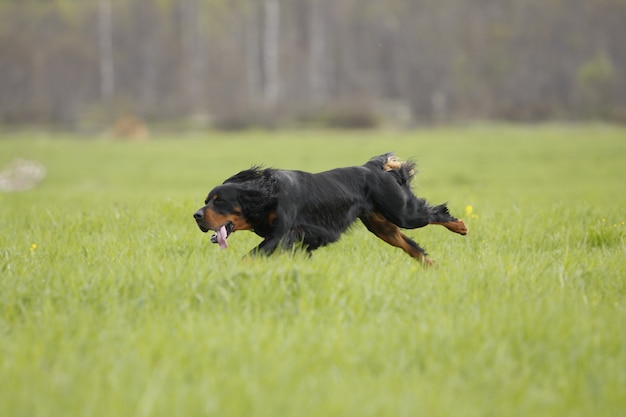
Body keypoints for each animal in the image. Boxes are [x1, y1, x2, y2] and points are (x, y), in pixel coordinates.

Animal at [193, 153, 466, 264]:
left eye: (219, 200)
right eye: (207, 200)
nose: (196, 215)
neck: (266, 194)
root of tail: (372, 167)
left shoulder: (280, 235)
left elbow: (250, 256)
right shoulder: (298, 240)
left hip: (403, 213)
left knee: (435, 213)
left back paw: (460, 227)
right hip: (382, 226)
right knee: (412, 247)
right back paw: (432, 265)